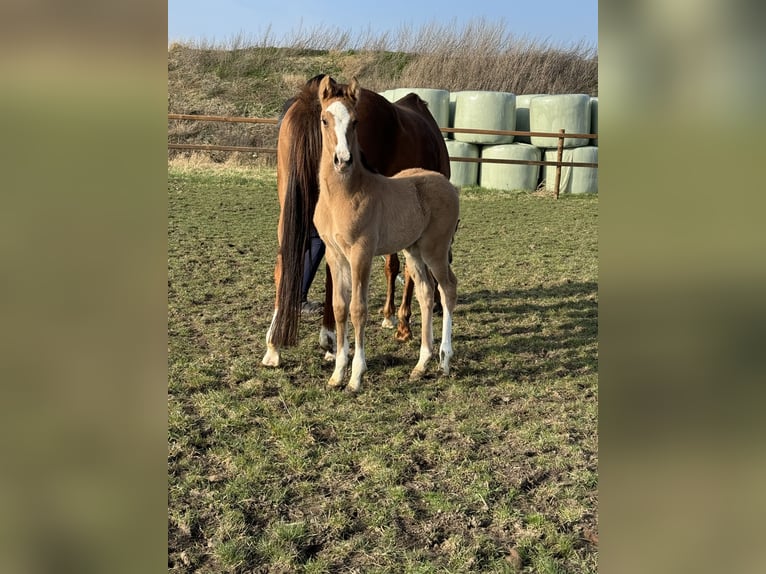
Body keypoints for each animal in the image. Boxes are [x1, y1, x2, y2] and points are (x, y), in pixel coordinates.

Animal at [316, 76, 460, 392]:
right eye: (324, 120)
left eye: (356, 121)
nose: (342, 160)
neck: (344, 195)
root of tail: (447, 184)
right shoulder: (335, 255)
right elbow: (339, 307)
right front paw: (336, 374)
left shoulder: (361, 253)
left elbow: (358, 309)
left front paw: (356, 376)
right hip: (413, 249)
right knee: (425, 292)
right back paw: (421, 364)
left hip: (435, 249)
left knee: (447, 288)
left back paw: (444, 360)